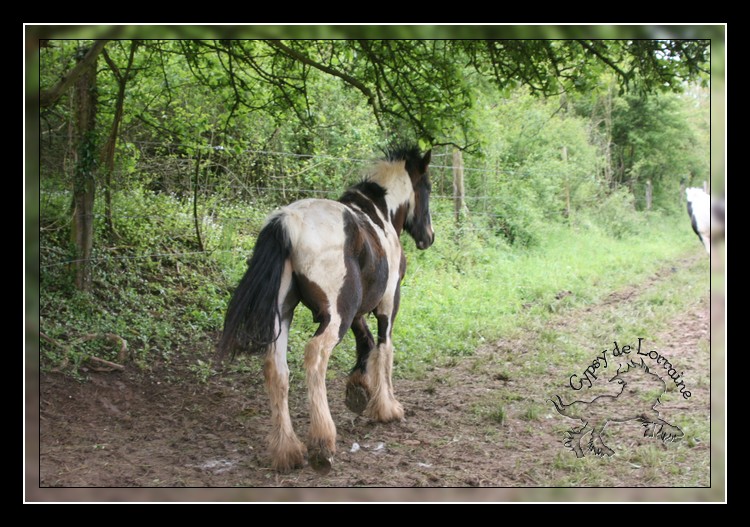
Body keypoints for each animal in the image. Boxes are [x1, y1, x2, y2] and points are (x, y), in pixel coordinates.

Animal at [219, 145, 434, 474]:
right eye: (428, 188)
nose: (429, 237)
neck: (379, 214)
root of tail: (287, 221)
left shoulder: (356, 310)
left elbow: (366, 342)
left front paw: (358, 391)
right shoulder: (387, 303)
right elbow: (384, 348)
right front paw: (386, 407)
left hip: (285, 313)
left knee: (276, 367)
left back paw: (287, 451)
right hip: (334, 318)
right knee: (315, 355)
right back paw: (322, 445)